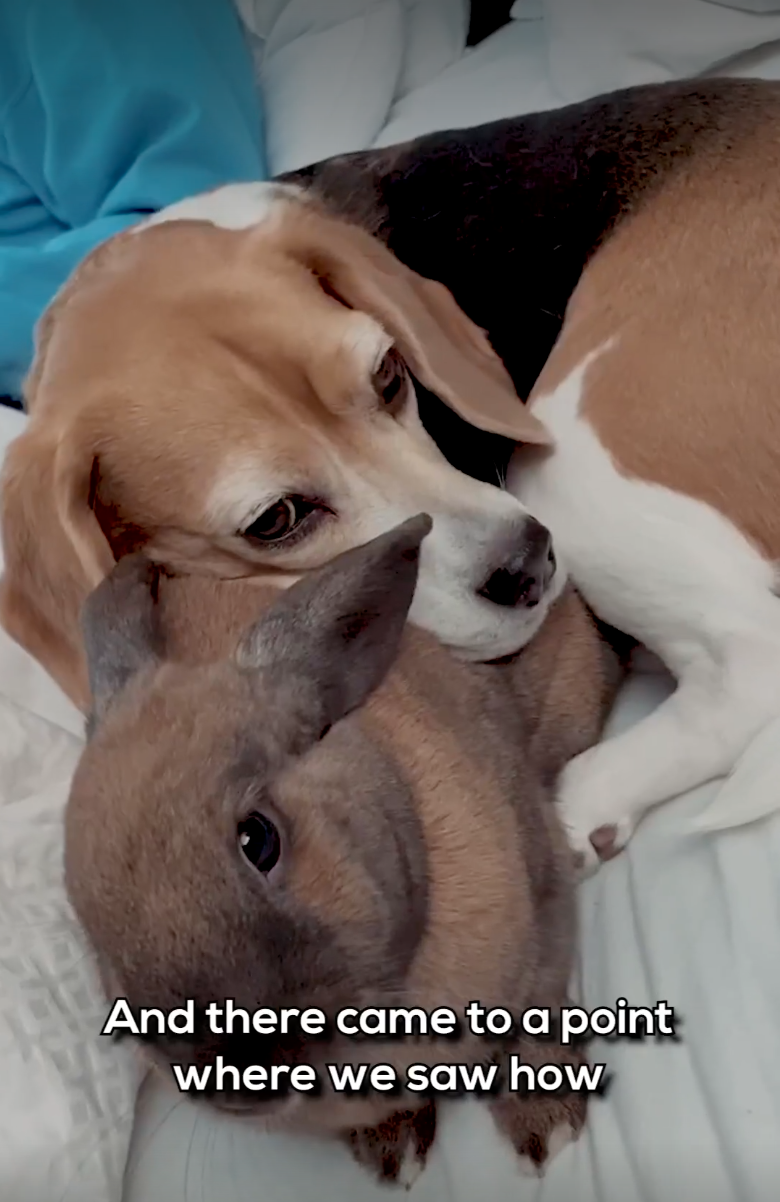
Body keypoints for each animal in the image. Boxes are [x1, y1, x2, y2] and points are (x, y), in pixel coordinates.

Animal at [63, 516, 620, 1182]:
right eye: (90, 927)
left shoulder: (542, 888)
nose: (237, 1082)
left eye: (259, 839)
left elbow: (535, 1012)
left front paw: (550, 1127)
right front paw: (393, 1153)